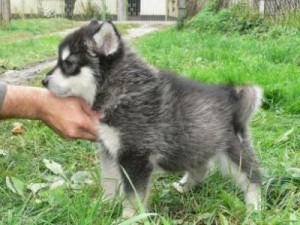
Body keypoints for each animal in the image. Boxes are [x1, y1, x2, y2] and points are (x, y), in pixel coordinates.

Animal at [42, 20, 262, 217]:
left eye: (69, 64)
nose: (43, 81)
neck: (121, 91)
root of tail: (231, 95)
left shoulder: (136, 156)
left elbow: (133, 194)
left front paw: (128, 218)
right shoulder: (109, 149)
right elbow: (109, 180)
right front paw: (106, 206)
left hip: (233, 149)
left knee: (252, 177)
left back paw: (254, 207)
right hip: (195, 141)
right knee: (201, 166)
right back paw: (185, 186)